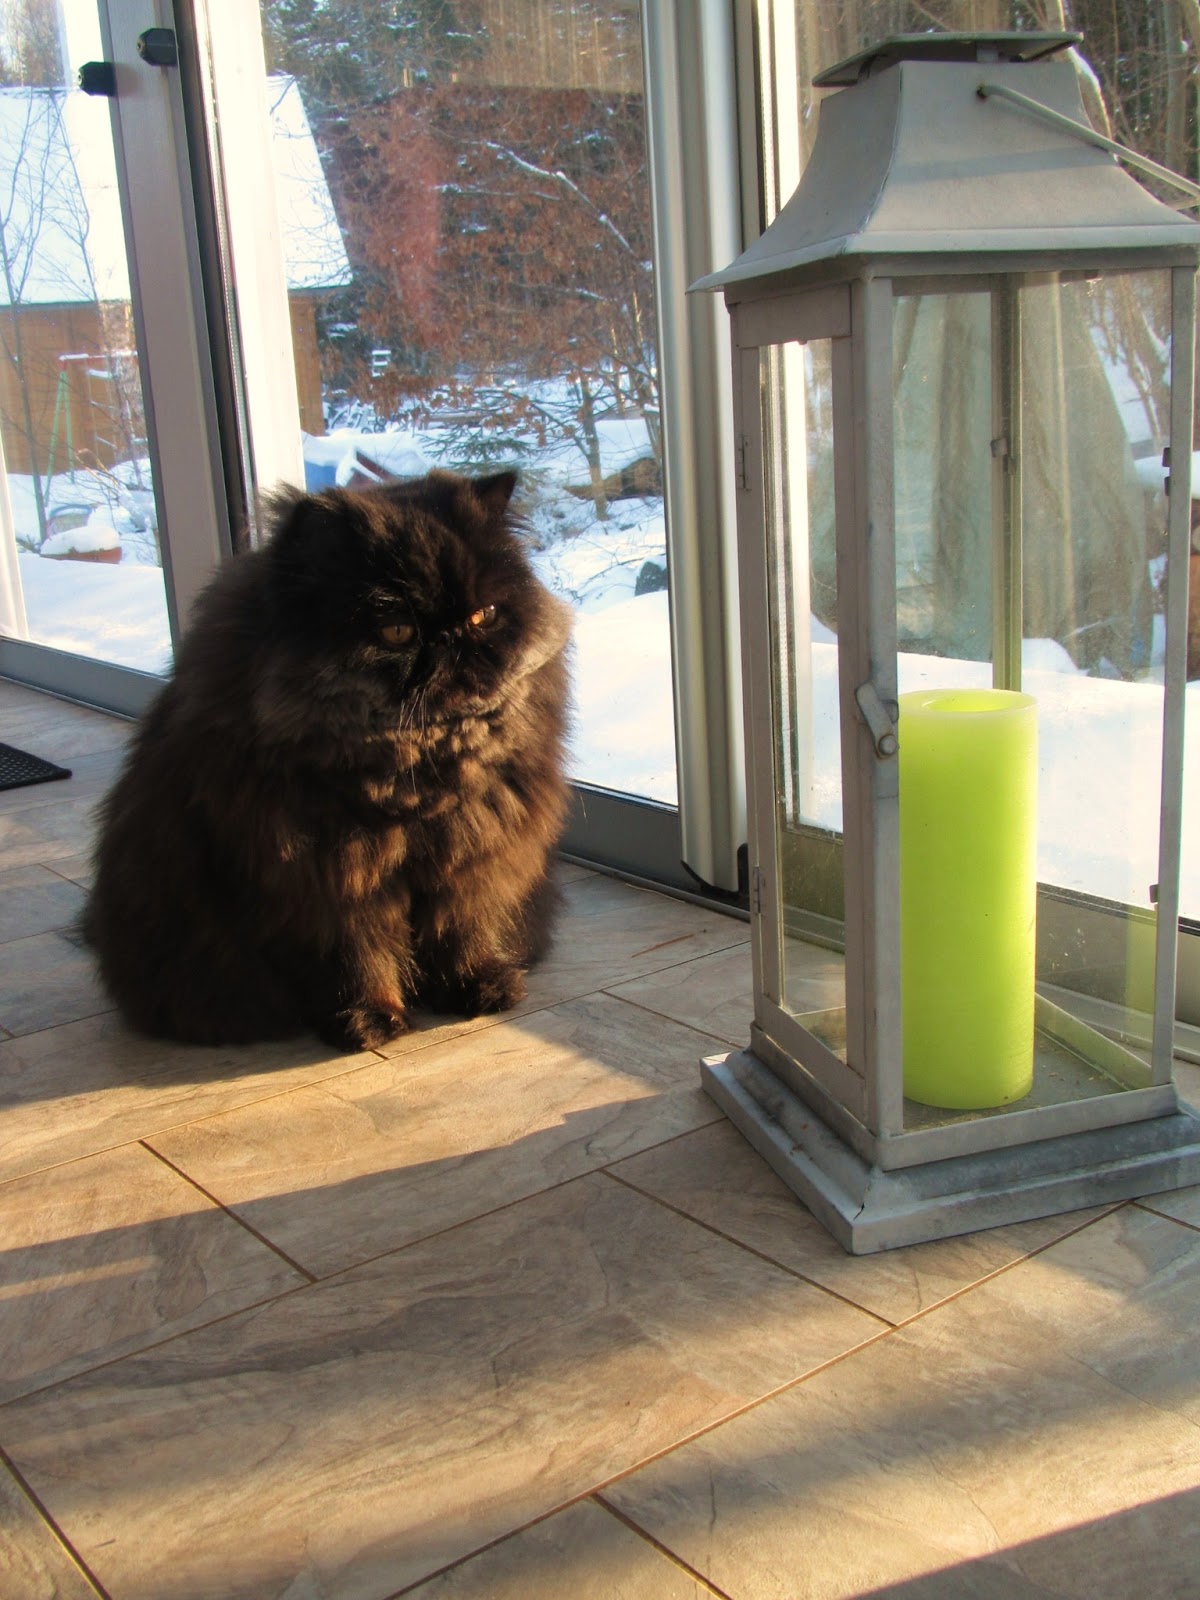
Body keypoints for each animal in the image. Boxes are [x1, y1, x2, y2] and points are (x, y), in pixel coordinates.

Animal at [83, 469, 573, 1050]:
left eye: (484, 616)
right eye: (397, 631)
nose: (452, 640)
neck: (415, 783)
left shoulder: (473, 859)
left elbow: (464, 929)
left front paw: (478, 989)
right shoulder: (325, 886)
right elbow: (357, 958)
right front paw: (371, 1020)